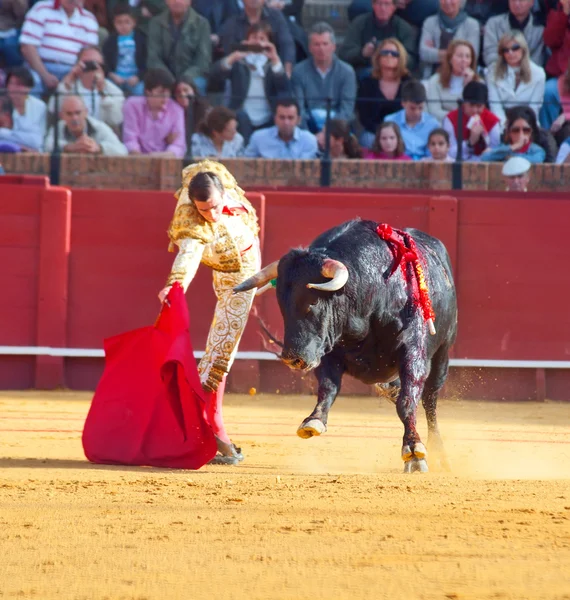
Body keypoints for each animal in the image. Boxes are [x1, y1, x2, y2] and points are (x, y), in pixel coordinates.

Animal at [233, 219, 454, 474]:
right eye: (282, 305)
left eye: (312, 302)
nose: (292, 358)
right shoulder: (327, 351)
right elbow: (328, 387)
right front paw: (313, 420)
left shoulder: (413, 351)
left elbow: (408, 400)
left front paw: (414, 450)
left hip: (442, 355)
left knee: (429, 400)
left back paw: (438, 451)